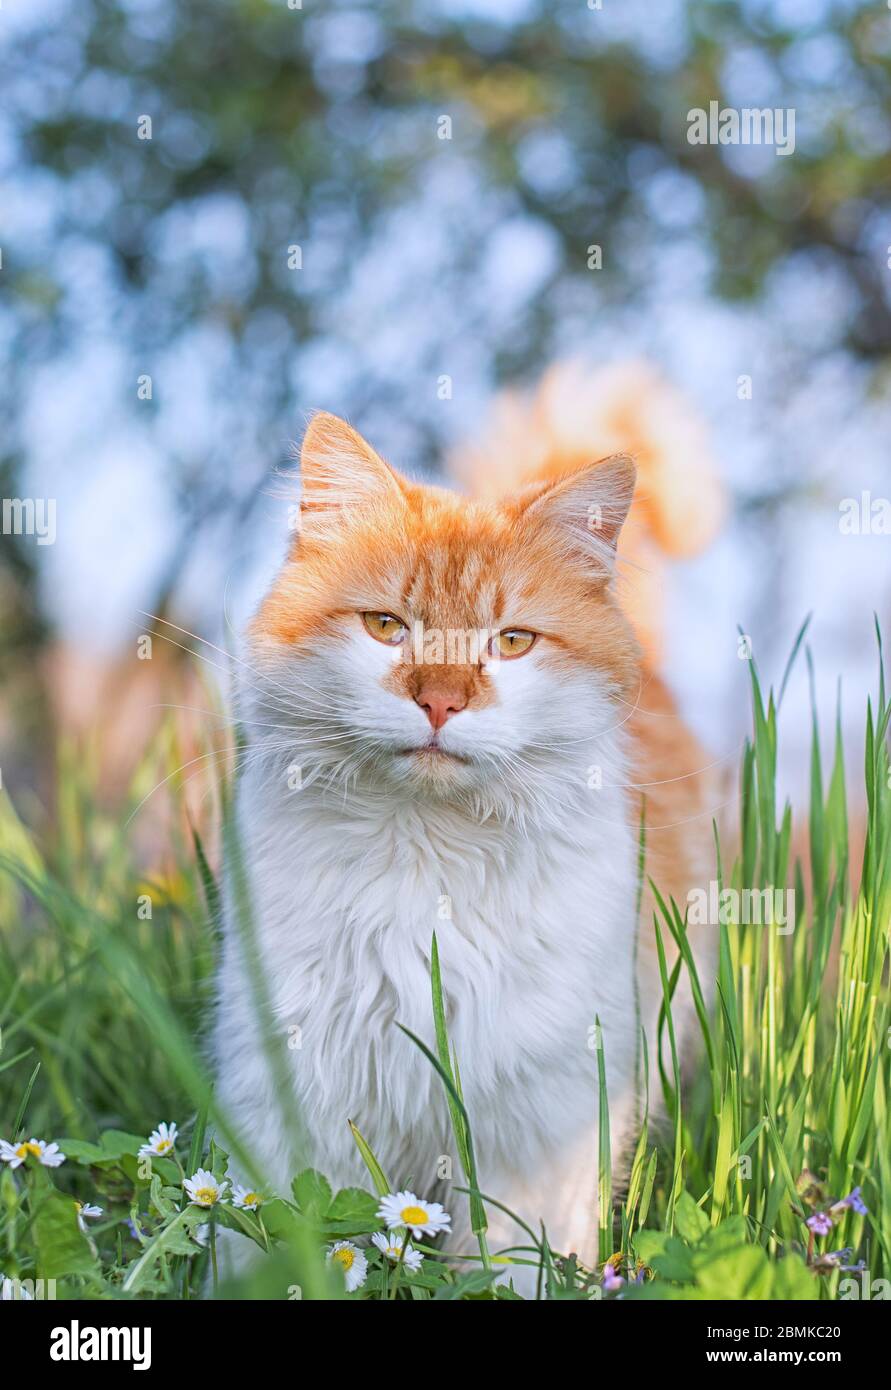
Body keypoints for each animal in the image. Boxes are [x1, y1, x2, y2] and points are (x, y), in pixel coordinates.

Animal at [214, 369, 717, 1278]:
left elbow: (510, 1266)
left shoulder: (537, 1126)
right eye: (386, 627)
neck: (426, 855)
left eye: (511, 642)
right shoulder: (292, 1094)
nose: (441, 702)